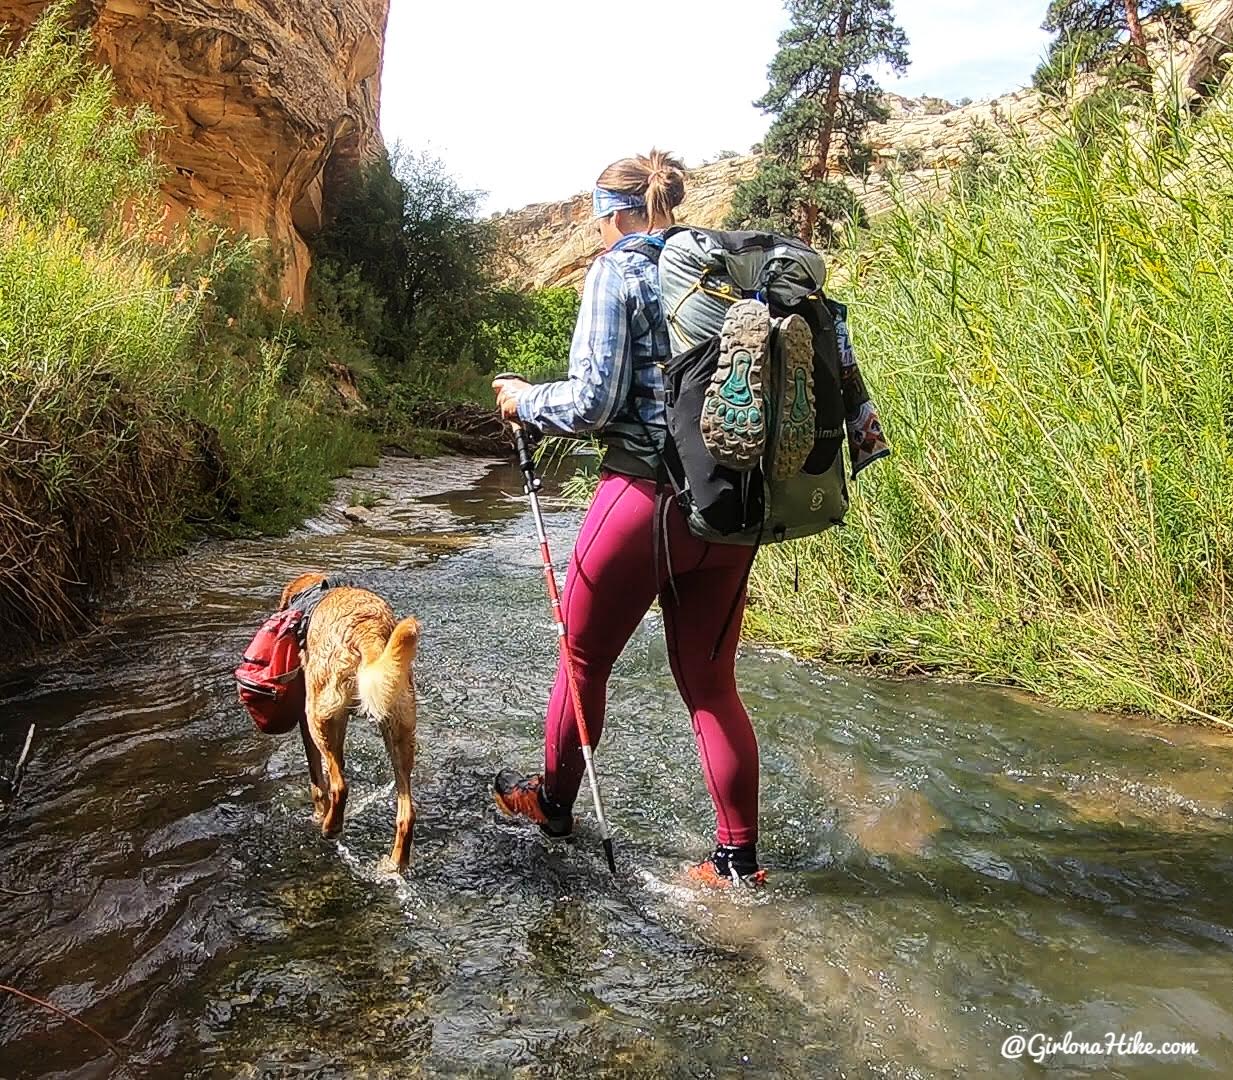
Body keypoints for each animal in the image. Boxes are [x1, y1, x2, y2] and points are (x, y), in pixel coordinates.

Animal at [277, 574, 421, 867]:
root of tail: (367, 629)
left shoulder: (308, 718)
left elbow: (318, 780)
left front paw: (318, 813)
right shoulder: (340, 723)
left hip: (318, 717)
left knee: (340, 787)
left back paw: (330, 827)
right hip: (400, 733)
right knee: (406, 815)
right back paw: (394, 866)